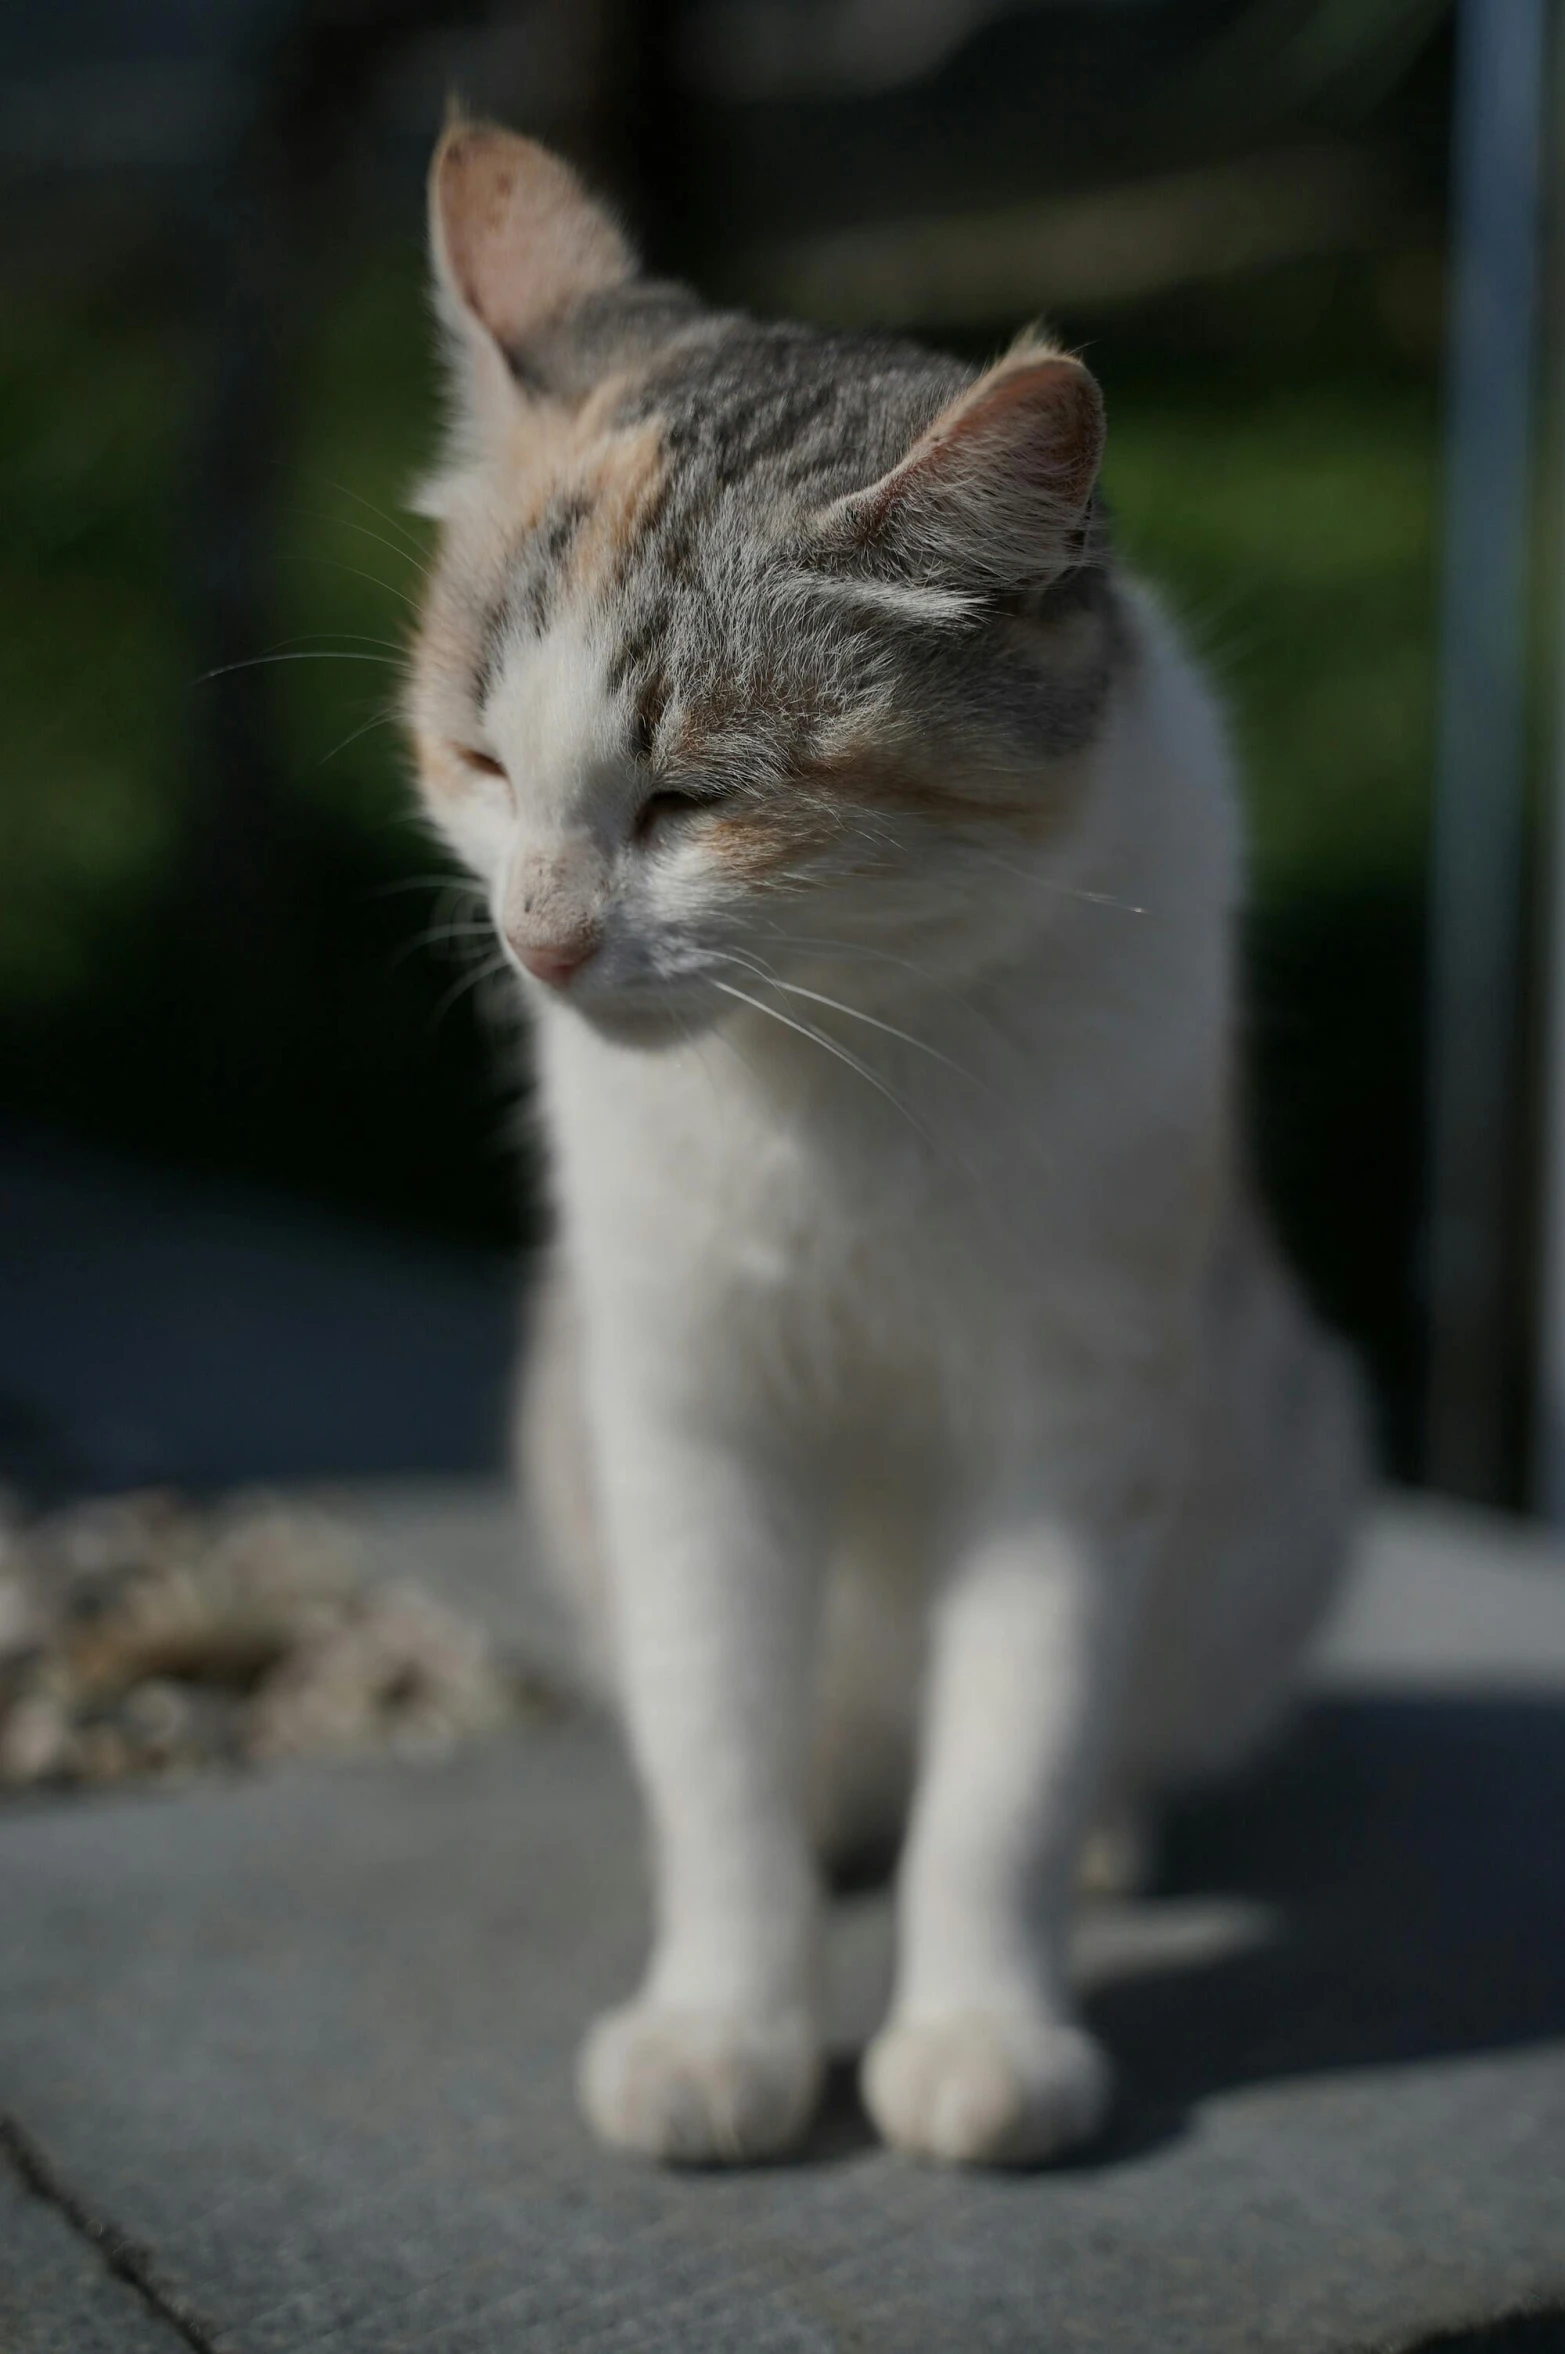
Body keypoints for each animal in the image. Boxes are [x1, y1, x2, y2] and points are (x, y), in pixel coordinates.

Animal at [404, 119, 1364, 2156]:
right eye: (482, 761)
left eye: (692, 799)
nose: (542, 937)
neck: (836, 1065)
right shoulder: (686, 1416)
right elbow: (720, 1764)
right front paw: (723, 2030)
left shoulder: (1072, 1432)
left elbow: (1004, 1783)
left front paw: (984, 2037)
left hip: (1284, 1451)